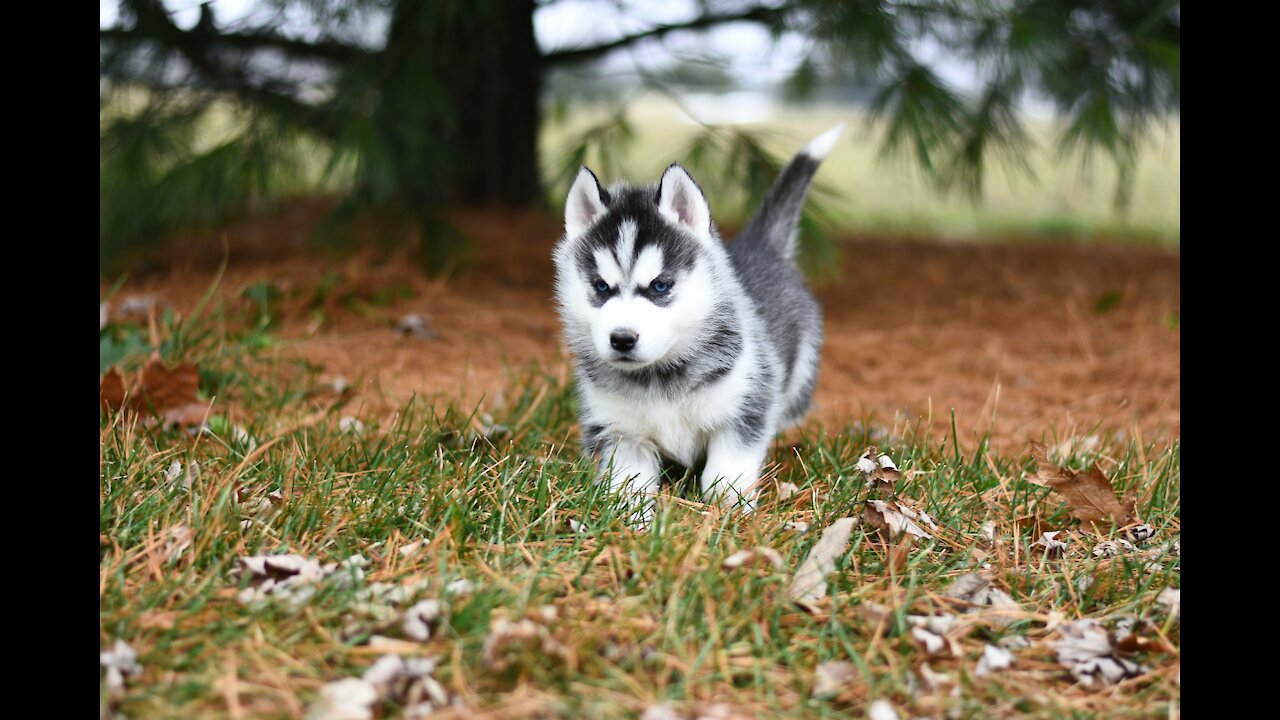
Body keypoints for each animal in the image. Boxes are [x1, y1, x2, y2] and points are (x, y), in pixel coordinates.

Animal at [552, 126, 839, 525]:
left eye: (660, 286)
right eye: (601, 287)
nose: (622, 339)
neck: (660, 377)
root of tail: (759, 246)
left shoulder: (745, 409)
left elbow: (728, 469)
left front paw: (729, 512)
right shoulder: (621, 432)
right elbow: (630, 484)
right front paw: (633, 524)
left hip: (799, 378)